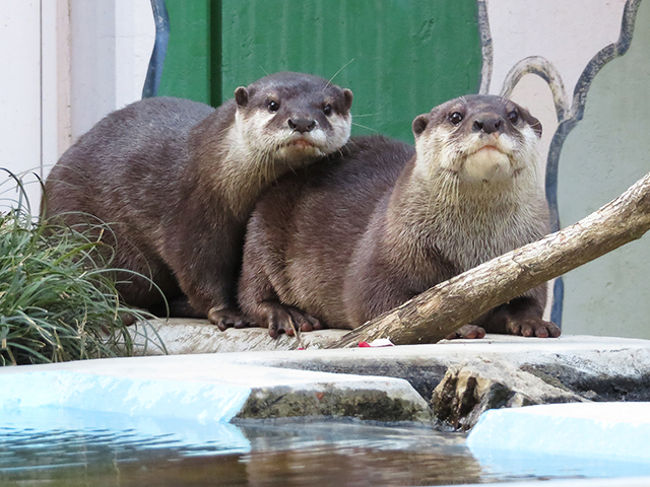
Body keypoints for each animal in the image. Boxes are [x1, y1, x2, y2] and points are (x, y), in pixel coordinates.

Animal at [41, 71, 350, 328]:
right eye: (273, 104)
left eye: (327, 107)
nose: (301, 121)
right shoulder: (193, 213)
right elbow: (197, 267)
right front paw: (227, 312)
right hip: (80, 232)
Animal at [235, 94, 560, 340]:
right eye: (456, 116)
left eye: (513, 115)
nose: (489, 121)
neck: (471, 248)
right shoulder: (385, 245)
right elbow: (378, 301)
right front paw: (454, 326)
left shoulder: (528, 252)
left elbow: (529, 300)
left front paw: (533, 322)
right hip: (262, 232)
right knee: (251, 292)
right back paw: (286, 314)